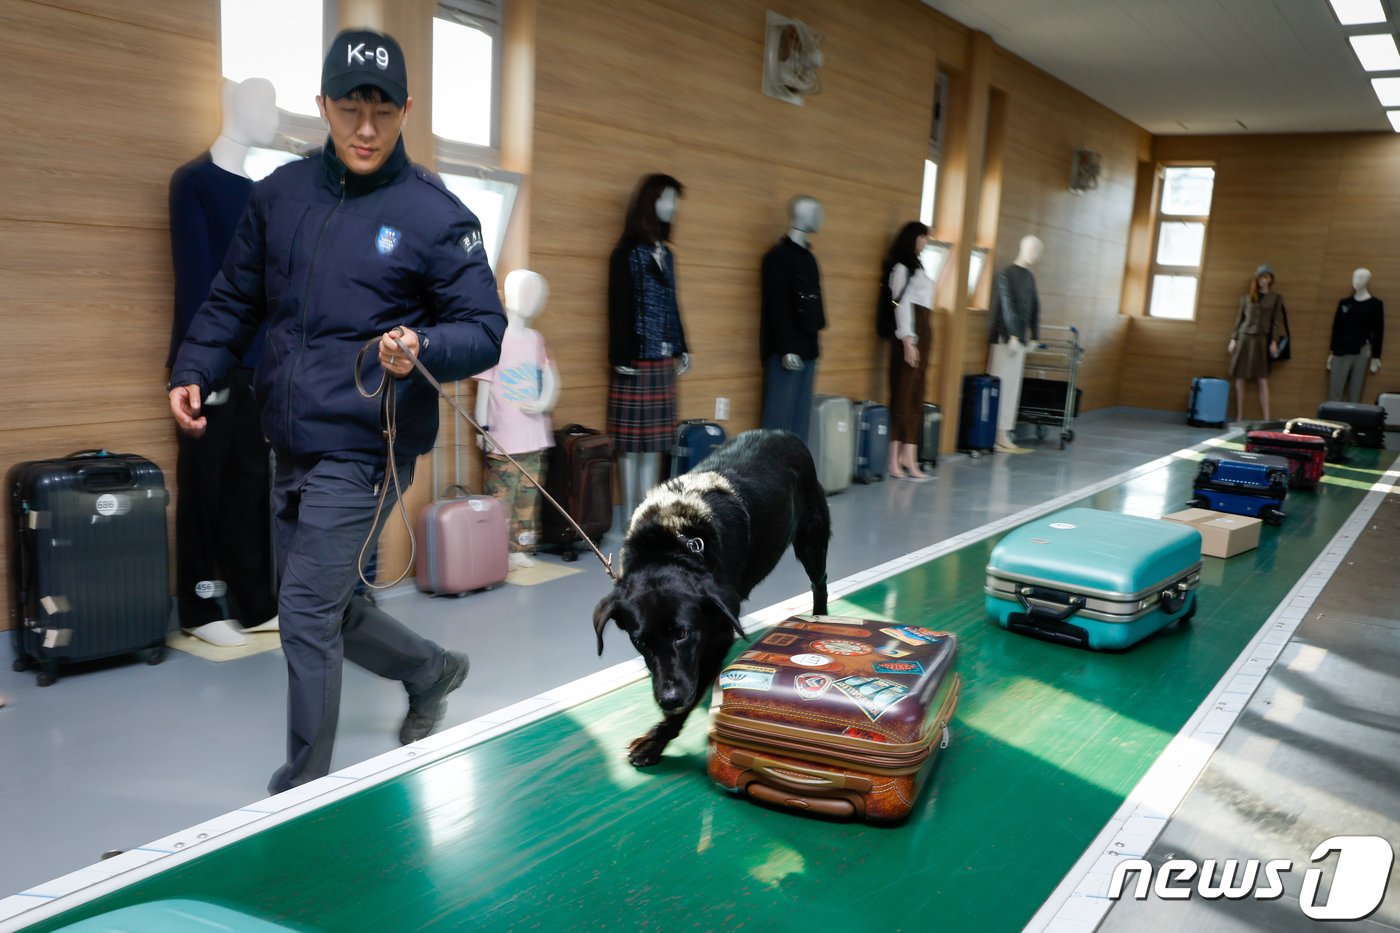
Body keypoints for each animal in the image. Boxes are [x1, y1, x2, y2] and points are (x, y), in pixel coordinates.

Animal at [593, 428, 828, 762]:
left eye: (682, 634)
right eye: (640, 643)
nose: (668, 698)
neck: (669, 544)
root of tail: (783, 432)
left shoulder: (719, 635)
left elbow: (689, 699)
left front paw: (656, 740)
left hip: (812, 539)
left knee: (819, 583)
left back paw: (821, 618)